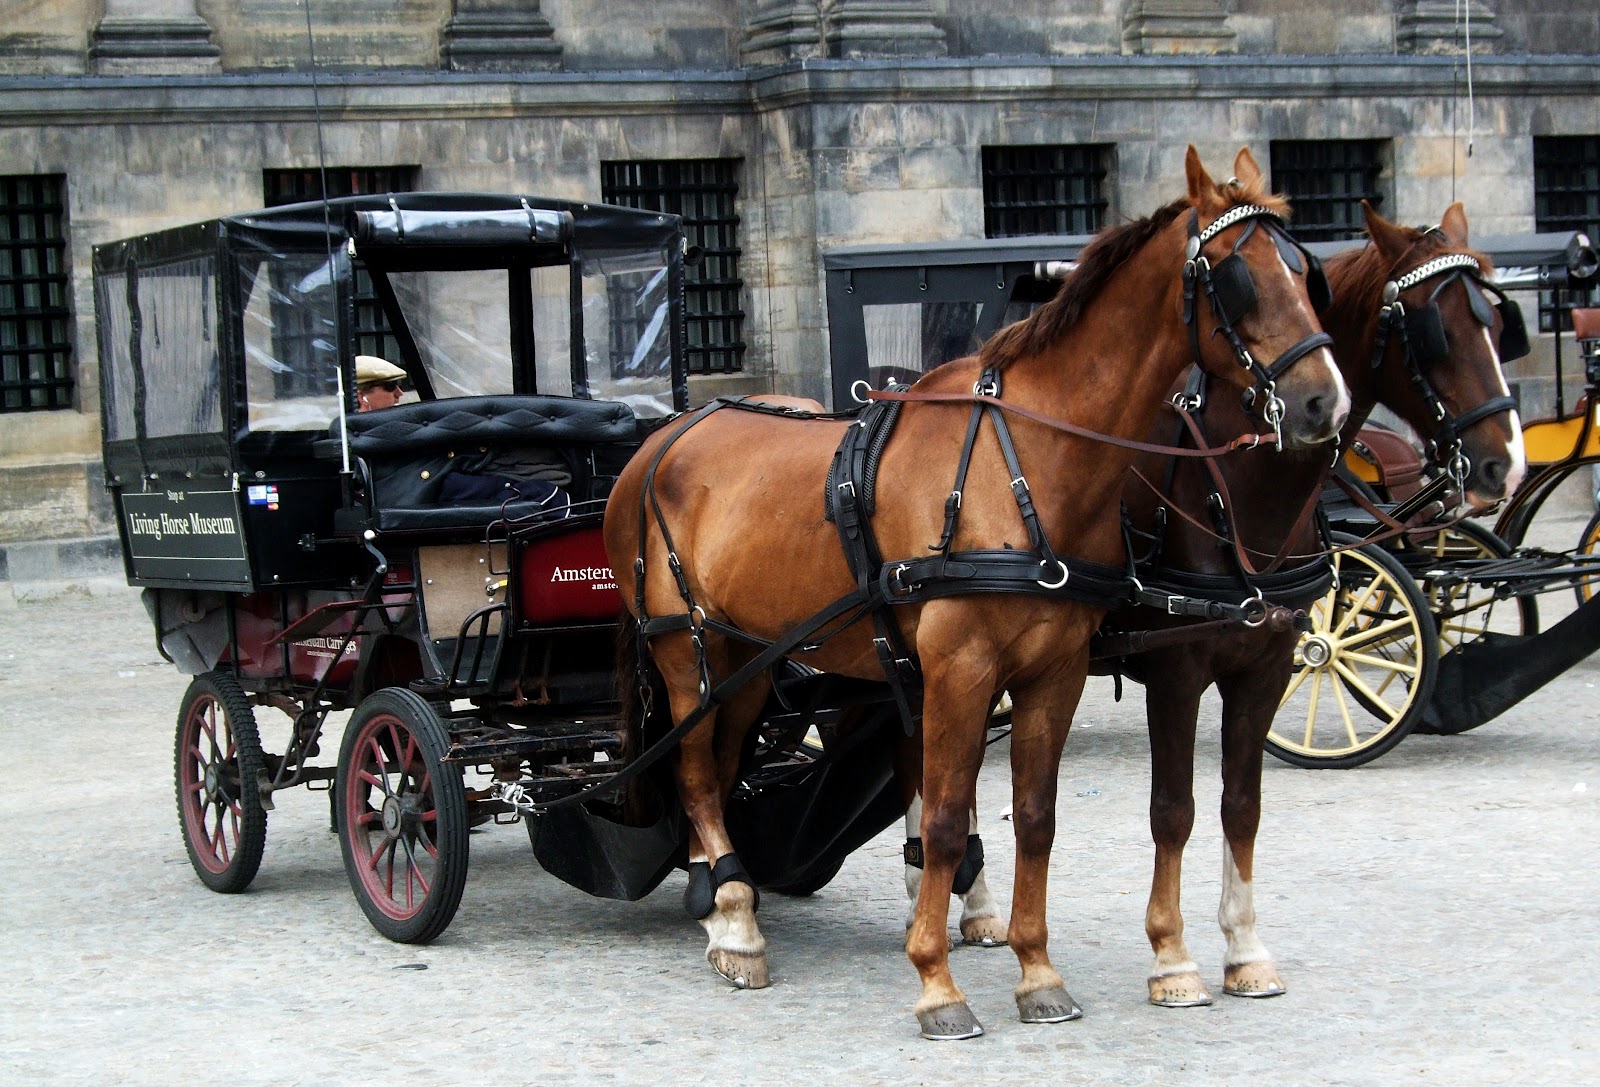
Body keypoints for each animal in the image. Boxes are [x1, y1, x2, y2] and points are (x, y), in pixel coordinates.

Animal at [603, 146, 1350, 1040]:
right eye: (1238, 279)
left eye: (1306, 274)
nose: (1324, 400)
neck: (1023, 456)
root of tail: (667, 438)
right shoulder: (978, 664)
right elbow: (951, 814)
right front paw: (937, 980)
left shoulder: (1061, 670)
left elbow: (1039, 814)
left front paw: (1038, 970)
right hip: (689, 651)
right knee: (694, 771)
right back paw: (737, 922)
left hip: (755, 656)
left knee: (720, 762)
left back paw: (722, 898)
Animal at [917, 199, 1527, 1008]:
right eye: (1433, 329)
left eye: (1494, 320)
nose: (1505, 462)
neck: (1234, 488)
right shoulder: (1177, 671)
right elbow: (1173, 810)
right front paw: (1172, 957)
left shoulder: (1266, 666)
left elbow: (1243, 804)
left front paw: (1244, 948)